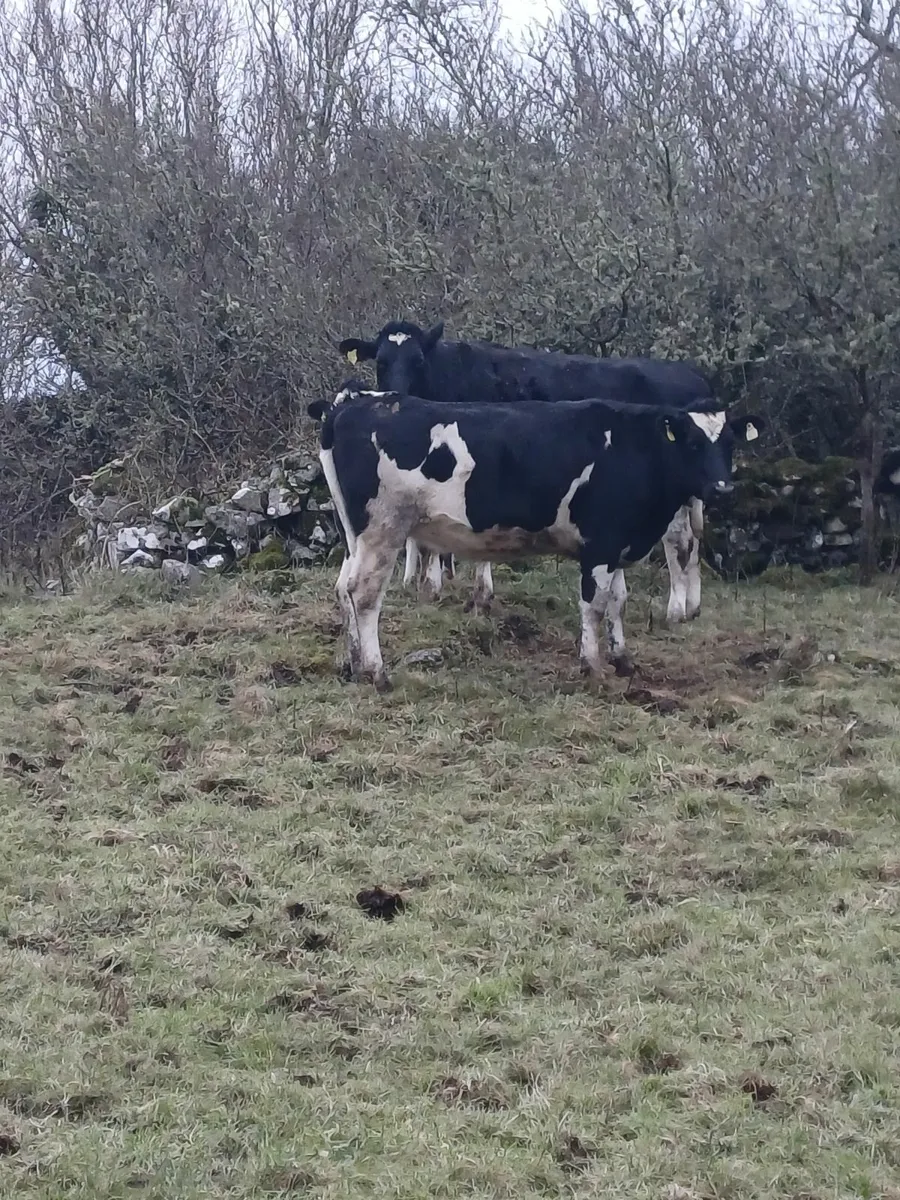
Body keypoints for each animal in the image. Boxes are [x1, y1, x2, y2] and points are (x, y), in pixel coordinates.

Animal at [310, 381, 764, 693]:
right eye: (692, 443)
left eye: (729, 443)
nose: (722, 488)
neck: (634, 448)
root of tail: (354, 402)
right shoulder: (600, 545)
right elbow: (594, 606)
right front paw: (593, 666)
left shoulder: (617, 540)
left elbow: (618, 601)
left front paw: (622, 659)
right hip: (382, 530)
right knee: (364, 594)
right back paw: (376, 672)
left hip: (355, 535)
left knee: (343, 588)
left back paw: (353, 664)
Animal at [336, 320, 730, 624]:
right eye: (381, 362)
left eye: (418, 360)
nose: (393, 396)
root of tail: (690, 374)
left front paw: (462, 589)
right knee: (693, 539)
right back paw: (692, 607)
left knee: (678, 539)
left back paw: (676, 609)